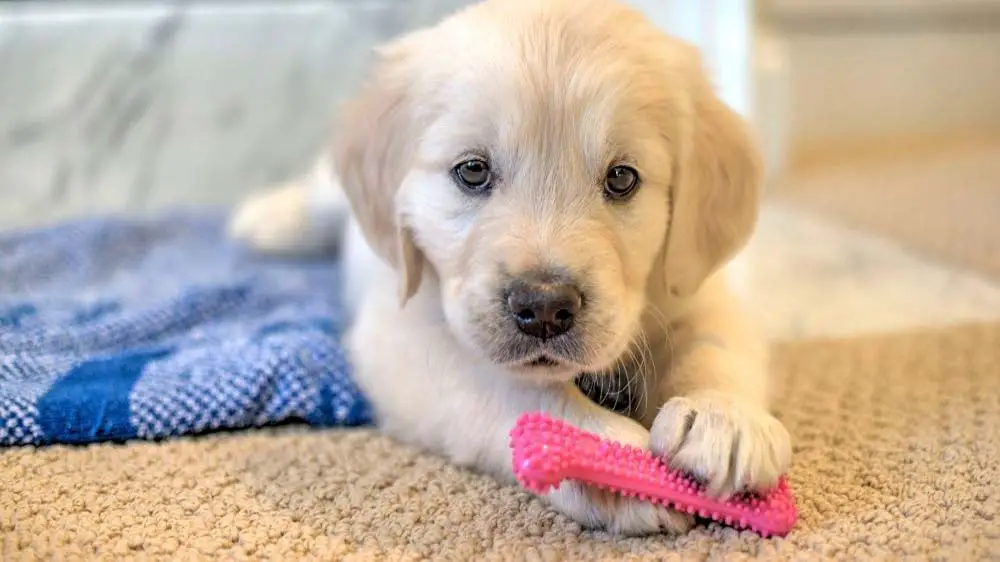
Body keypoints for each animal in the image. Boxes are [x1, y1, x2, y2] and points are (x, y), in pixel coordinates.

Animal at [230, 0, 792, 532]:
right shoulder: (405, 336)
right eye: (473, 171)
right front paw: (611, 462)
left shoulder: (691, 287)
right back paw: (270, 217)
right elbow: (516, 389)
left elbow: (715, 344)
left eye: (622, 178)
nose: (544, 307)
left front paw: (725, 421)